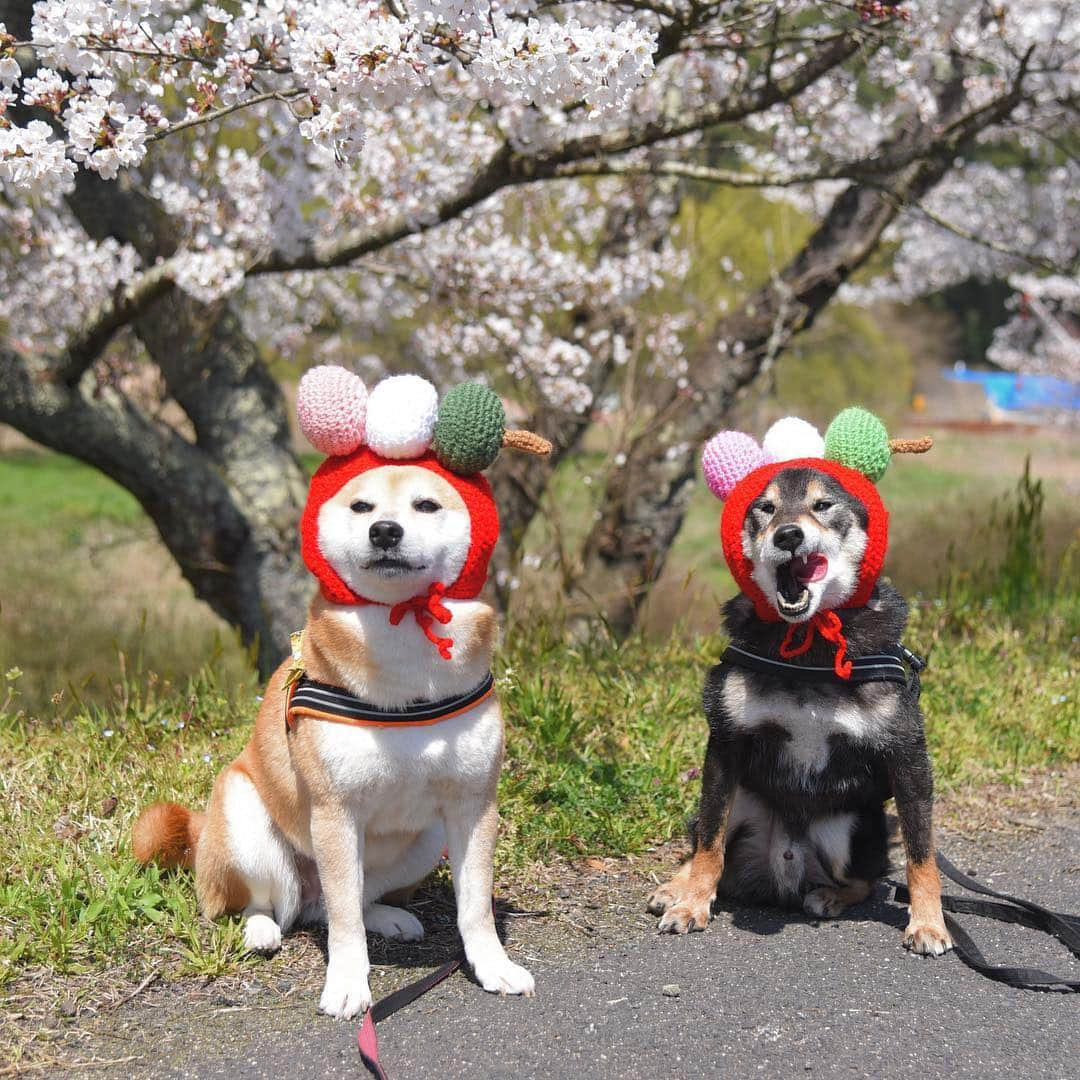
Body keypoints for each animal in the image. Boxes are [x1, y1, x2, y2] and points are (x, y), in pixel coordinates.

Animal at [643, 421, 950, 954]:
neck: (810, 645)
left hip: (848, 829)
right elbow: (709, 843)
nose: (788, 534)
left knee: (866, 878)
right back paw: (676, 887)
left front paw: (929, 922)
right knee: (708, 839)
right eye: (763, 509)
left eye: (822, 505)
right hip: (744, 800)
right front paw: (691, 903)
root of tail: (780, 881)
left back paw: (829, 896)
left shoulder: (907, 753)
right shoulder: (726, 743)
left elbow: (920, 851)